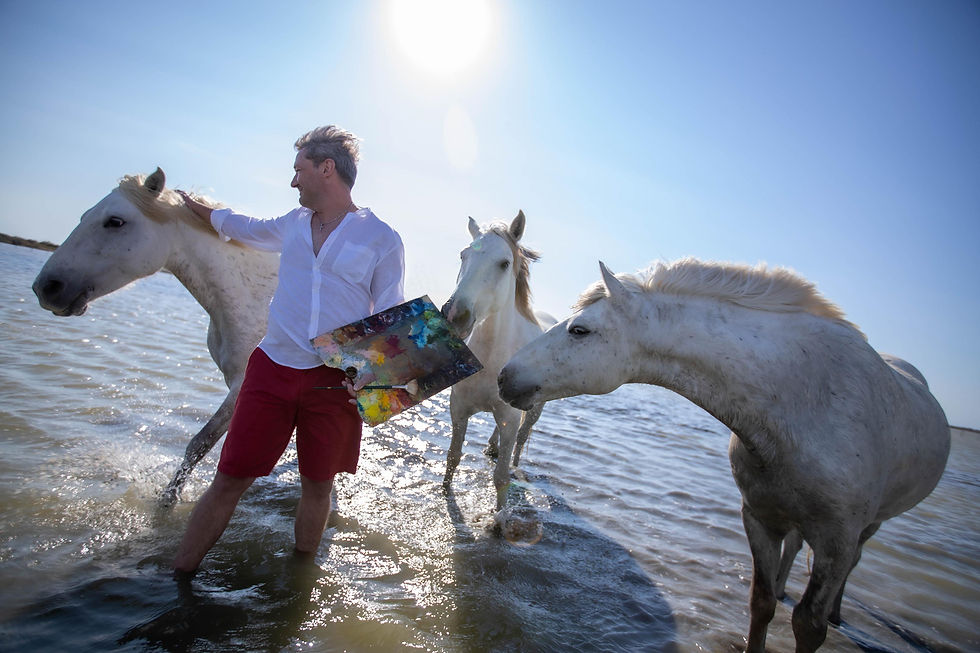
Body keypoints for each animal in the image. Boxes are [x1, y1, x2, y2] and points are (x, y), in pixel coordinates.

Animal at [32, 168, 278, 504]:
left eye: (115, 221)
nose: (46, 287)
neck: (256, 298)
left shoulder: (243, 387)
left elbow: (201, 443)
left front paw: (169, 499)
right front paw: (167, 498)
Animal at [441, 211, 548, 510]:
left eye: (504, 263)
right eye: (463, 255)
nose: (454, 315)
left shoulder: (509, 417)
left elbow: (500, 478)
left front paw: (500, 516)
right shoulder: (459, 410)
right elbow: (452, 459)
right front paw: (444, 494)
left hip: (534, 411)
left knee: (521, 437)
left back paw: (514, 463)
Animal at [498, 258, 949, 653]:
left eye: (579, 330)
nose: (504, 376)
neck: (803, 400)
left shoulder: (837, 538)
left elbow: (808, 624)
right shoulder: (759, 517)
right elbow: (761, 604)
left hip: (868, 526)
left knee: (852, 563)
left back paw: (837, 613)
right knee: (795, 550)